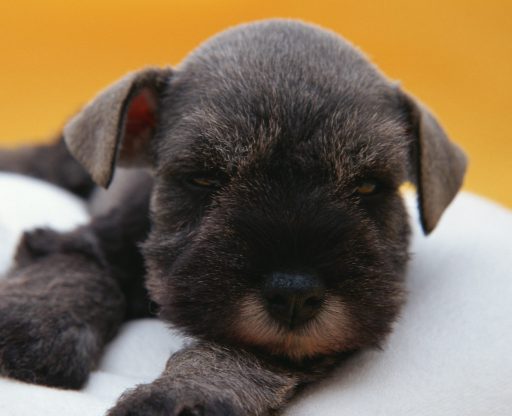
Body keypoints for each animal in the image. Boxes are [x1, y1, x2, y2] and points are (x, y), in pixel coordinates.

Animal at [0, 19, 466, 415]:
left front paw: (183, 394)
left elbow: (243, 352)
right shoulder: (90, 239)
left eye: (369, 186)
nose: (294, 293)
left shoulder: (298, 342)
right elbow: (73, 270)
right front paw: (31, 329)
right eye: (204, 177)